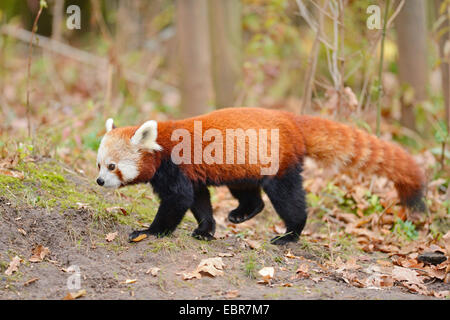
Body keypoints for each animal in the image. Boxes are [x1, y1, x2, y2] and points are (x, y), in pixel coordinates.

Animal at [95, 107, 426, 245]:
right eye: (98, 165)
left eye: (111, 167)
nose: (99, 182)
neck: (160, 146)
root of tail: (293, 120)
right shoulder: (192, 174)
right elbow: (199, 200)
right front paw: (206, 229)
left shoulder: (176, 167)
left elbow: (178, 200)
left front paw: (149, 232)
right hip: (245, 165)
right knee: (249, 193)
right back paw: (243, 213)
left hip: (278, 163)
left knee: (287, 197)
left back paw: (290, 233)